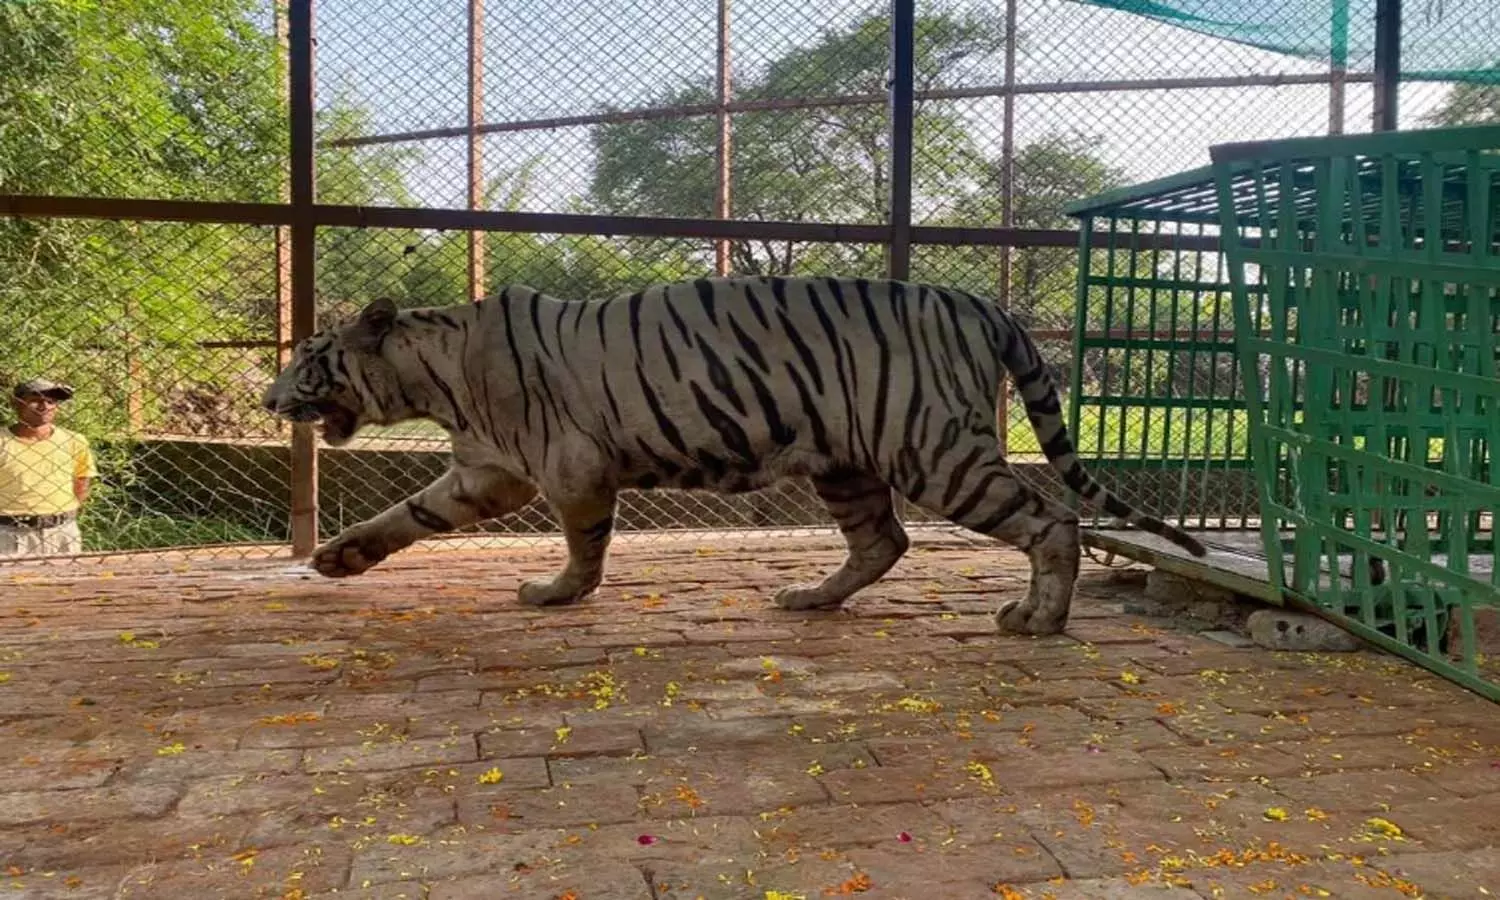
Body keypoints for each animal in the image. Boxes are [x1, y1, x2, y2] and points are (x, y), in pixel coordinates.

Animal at [262, 275, 1206, 636]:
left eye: (309, 360)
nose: (268, 401)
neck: (436, 372)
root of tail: (981, 302)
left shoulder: (568, 468)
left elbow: (584, 544)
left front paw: (559, 593)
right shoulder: (482, 471)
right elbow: (407, 513)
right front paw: (340, 557)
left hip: (935, 450)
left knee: (1051, 519)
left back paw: (1037, 617)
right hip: (847, 463)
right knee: (883, 541)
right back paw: (809, 598)